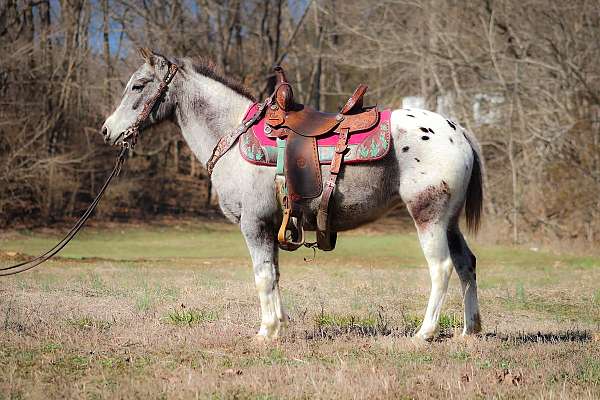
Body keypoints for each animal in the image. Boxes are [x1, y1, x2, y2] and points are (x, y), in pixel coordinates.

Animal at [99, 49, 482, 340]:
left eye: (138, 85)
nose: (107, 130)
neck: (233, 135)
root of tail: (458, 130)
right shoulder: (271, 226)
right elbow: (274, 274)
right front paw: (280, 325)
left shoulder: (253, 224)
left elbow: (263, 276)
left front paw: (266, 331)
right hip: (449, 222)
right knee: (466, 263)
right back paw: (470, 331)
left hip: (428, 216)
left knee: (441, 267)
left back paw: (425, 333)